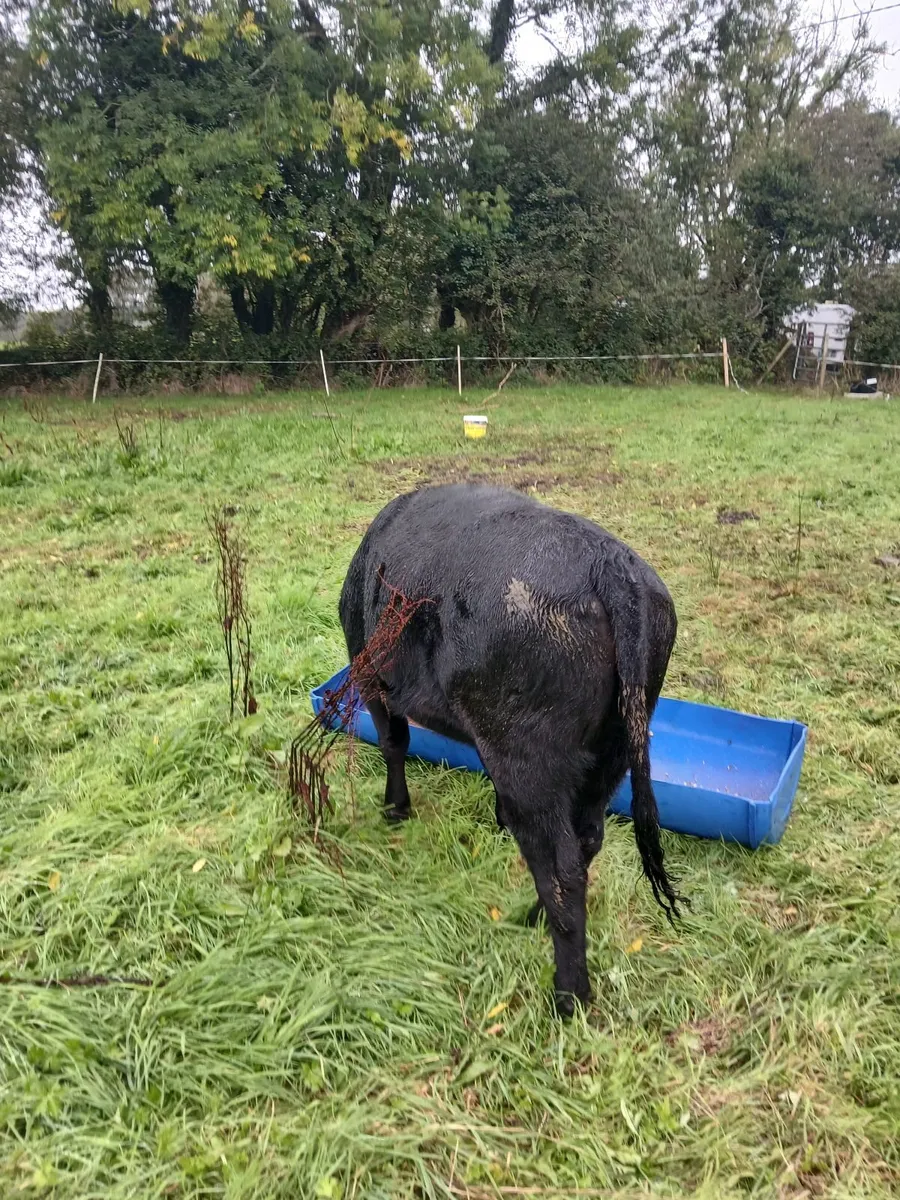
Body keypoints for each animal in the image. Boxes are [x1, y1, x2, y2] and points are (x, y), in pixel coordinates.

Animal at [339, 483, 682, 1015]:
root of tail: (607, 560)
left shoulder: (371, 674)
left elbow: (394, 742)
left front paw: (395, 809)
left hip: (527, 757)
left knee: (561, 868)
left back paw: (568, 994)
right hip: (615, 748)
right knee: (584, 842)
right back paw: (536, 917)